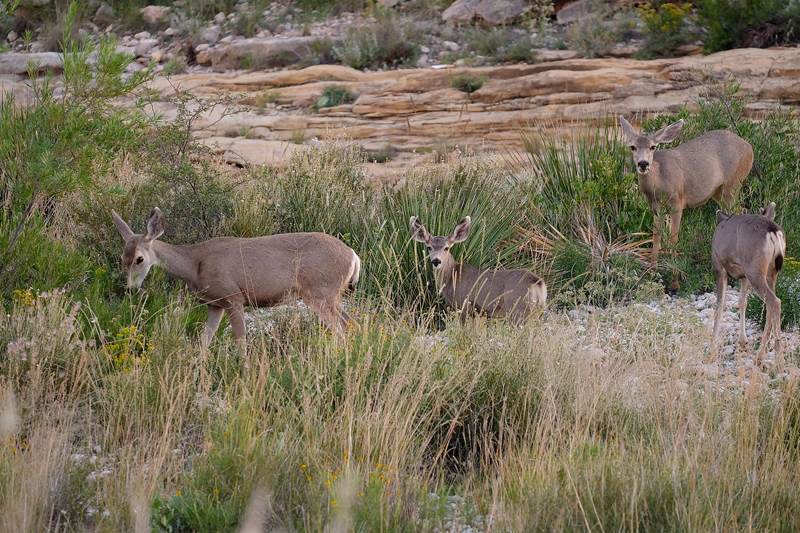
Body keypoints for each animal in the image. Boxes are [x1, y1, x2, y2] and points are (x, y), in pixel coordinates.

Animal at [111, 208, 361, 350]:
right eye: (121, 258)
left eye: (140, 259)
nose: (130, 288)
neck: (195, 264)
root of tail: (353, 256)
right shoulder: (215, 305)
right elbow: (204, 343)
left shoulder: (234, 297)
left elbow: (241, 342)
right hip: (332, 296)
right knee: (352, 324)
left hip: (319, 293)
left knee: (340, 329)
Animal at [409, 216, 547, 324]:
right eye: (429, 247)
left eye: (446, 248)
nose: (436, 261)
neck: (452, 277)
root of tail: (537, 282)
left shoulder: (463, 304)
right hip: (536, 311)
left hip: (518, 309)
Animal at [618, 116, 753, 269]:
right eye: (632, 147)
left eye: (653, 147)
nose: (643, 163)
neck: (658, 184)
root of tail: (749, 147)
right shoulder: (655, 207)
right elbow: (656, 237)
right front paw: (652, 267)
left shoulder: (677, 203)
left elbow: (673, 237)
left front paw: (674, 268)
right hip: (718, 192)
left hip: (733, 183)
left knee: (738, 211)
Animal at [710, 202, 785, 368]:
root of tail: (773, 230)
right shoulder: (743, 276)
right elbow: (742, 303)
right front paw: (743, 341)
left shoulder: (719, 267)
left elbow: (720, 305)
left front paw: (713, 346)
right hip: (770, 273)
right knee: (770, 304)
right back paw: (760, 356)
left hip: (754, 270)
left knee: (775, 302)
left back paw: (778, 359)